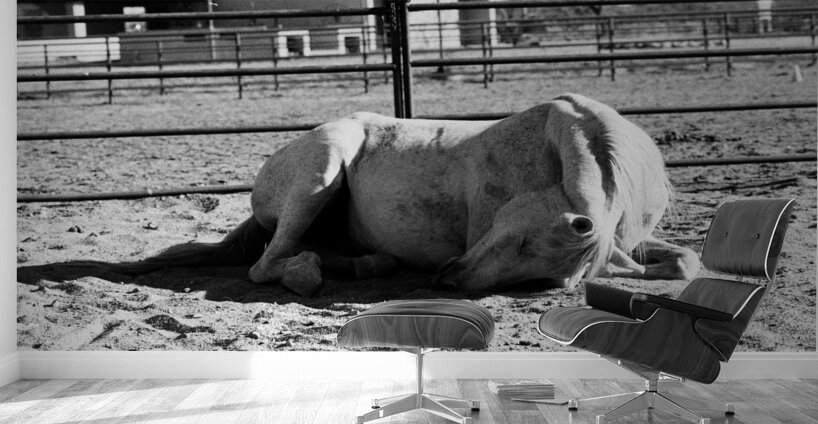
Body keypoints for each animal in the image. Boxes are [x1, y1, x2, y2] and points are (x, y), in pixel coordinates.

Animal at [108, 93, 700, 296]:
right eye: (512, 237)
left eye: (529, 254)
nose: (448, 277)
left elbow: (684, 262)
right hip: (321, 170)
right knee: (268, 264)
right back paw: (318, 272)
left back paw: (367, 264)